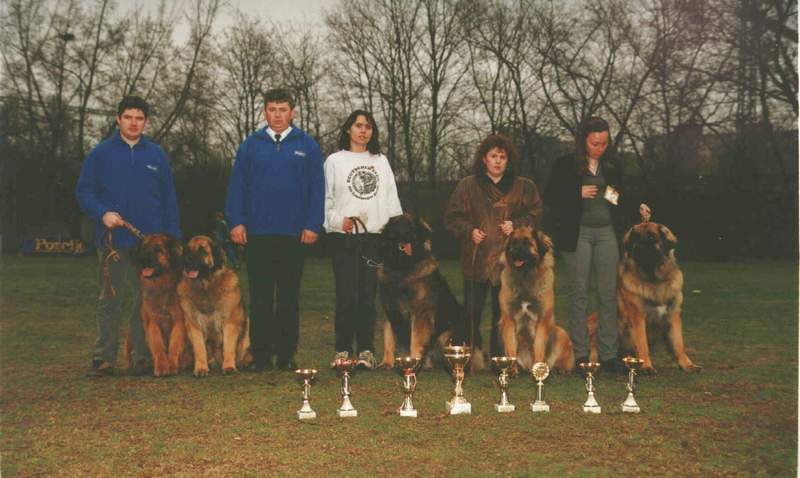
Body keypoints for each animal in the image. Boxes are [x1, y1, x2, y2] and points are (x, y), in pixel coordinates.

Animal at [130, 234, 188, 378]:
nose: (143, 259)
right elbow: (158, 346)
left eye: (158, 249)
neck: (161, 286)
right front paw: (161, 367)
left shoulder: (179, 321)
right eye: (144, 248)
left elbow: (174, 346)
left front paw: (172, 366)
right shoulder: (153, 322)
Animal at [177, 235, 250, 378]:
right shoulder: (194, 325)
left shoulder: (229, 323)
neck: (206, 287)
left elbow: (228, 346)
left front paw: (229, 366)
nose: (188, 259)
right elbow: (199, 348)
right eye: (187, 250)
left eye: (202, 250)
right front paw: (200, 368)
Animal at [376, 215, 466, 368]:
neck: (403, 268)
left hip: (445, 336)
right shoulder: (390, 310)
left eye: (411, 228)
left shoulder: (420, 313)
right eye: (397, 227)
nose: (405, 235)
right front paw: (386, 362)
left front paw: (414, 360)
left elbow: (416, 339)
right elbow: (389, 339)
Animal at [496, 226, 572, 372]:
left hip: (561, 333)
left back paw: (559, 369)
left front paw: (538, 370)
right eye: (513, 243)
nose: (515, 251)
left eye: (527, 243)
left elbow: (539, 347)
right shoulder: (508, 321)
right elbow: (511, 348)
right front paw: (512, 371)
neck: (525, 276)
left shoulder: (542, 320)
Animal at [620, 221, 700, 374]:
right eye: (635, 237)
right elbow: (642, 343)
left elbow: (679, 344)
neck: (654, 279)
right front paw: (646, 366)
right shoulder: (637, 316)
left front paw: (687, 365)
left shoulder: (673, 315)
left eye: (651, 237)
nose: (639, 246)